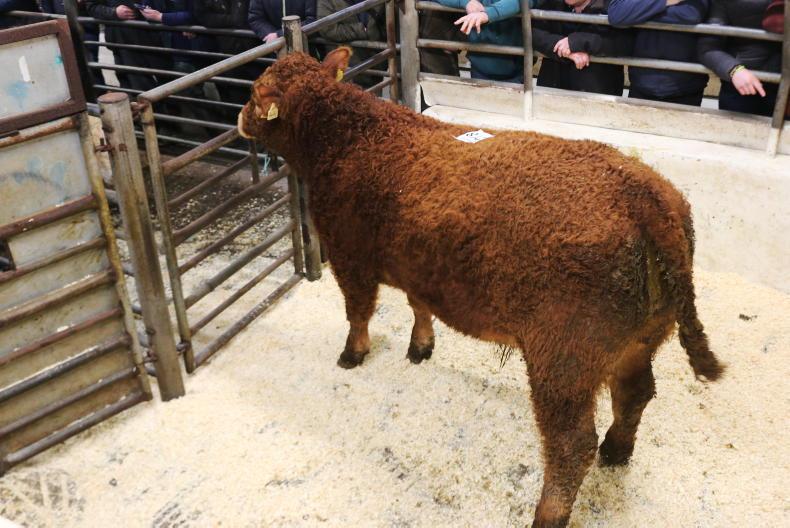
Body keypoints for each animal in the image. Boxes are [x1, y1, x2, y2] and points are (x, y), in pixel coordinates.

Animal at [238, 47, 724, 528]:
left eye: (256, 92)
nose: (241, 117)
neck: (352, 138)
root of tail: (646, 195)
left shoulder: (347, 253)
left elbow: (358, 311)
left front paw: (352, 354)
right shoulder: (420, 264)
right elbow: (418, 305)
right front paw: (420, 346)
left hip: (564, 358)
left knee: (571, 445)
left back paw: (548, 514)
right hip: (639, 339)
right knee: (635, 394)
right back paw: (617, 450)